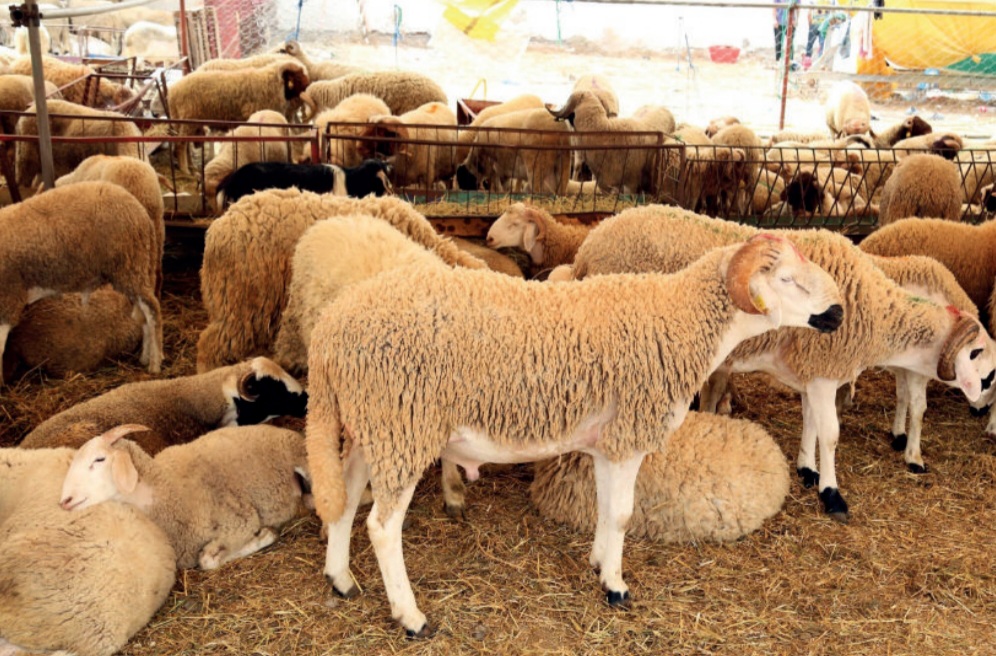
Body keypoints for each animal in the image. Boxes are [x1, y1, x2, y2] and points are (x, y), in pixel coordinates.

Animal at [0, 182, 162, 385]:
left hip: (130, 264)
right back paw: (145, 358)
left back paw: (155, 365)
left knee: (152, 312)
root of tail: (141, 211)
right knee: (142, 315)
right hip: (133, 268)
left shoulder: (8, 297)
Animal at [60, 423, 311, 570]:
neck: (169, 488)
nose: (65, 501)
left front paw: (265, 535)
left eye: (99, 459)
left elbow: (207, 561)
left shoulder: (240, 522)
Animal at [166, 60, 310, 172]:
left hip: (182, 121)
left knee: (184, 144)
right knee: (181, 145)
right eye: (298, 78)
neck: (272, 84)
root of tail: (173, 91)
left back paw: (191, 167)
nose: (310, 88)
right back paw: (185, 170)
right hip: (189, 118)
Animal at [569, 206, 995, 519]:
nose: (982, 407)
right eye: (982, 363)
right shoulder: (824, 371)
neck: (874, 310)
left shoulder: (812, 373)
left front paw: (807, 468)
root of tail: (588, 246)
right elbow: (831, 434)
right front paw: (832, 493)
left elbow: (811, 423)